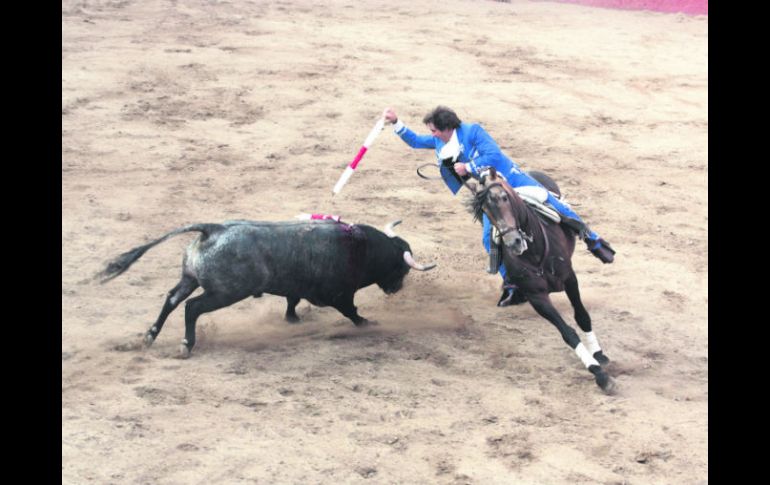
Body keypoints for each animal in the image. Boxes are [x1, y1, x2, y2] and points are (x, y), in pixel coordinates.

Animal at [97, 219, 432, 356]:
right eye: (401, 267)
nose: (396, 289)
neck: (360, 247)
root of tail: (212, 229)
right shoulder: (338, 295)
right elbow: (351, 311)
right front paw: (367, 323)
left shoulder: (297, 287)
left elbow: (292, 301)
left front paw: (292, 319)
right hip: (225, 293)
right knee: (192, 307)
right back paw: (185, 345)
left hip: (190, 278)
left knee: (171, 299)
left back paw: (148, 337)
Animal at [464, 166, 616, 394]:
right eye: (484, 210)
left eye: (504, 197)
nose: (514, 242)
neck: (533, 253)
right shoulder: (537, 297)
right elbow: (568, 333)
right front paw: (599, 374)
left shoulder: (570, 278)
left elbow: (582, 316)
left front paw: (599, 355)